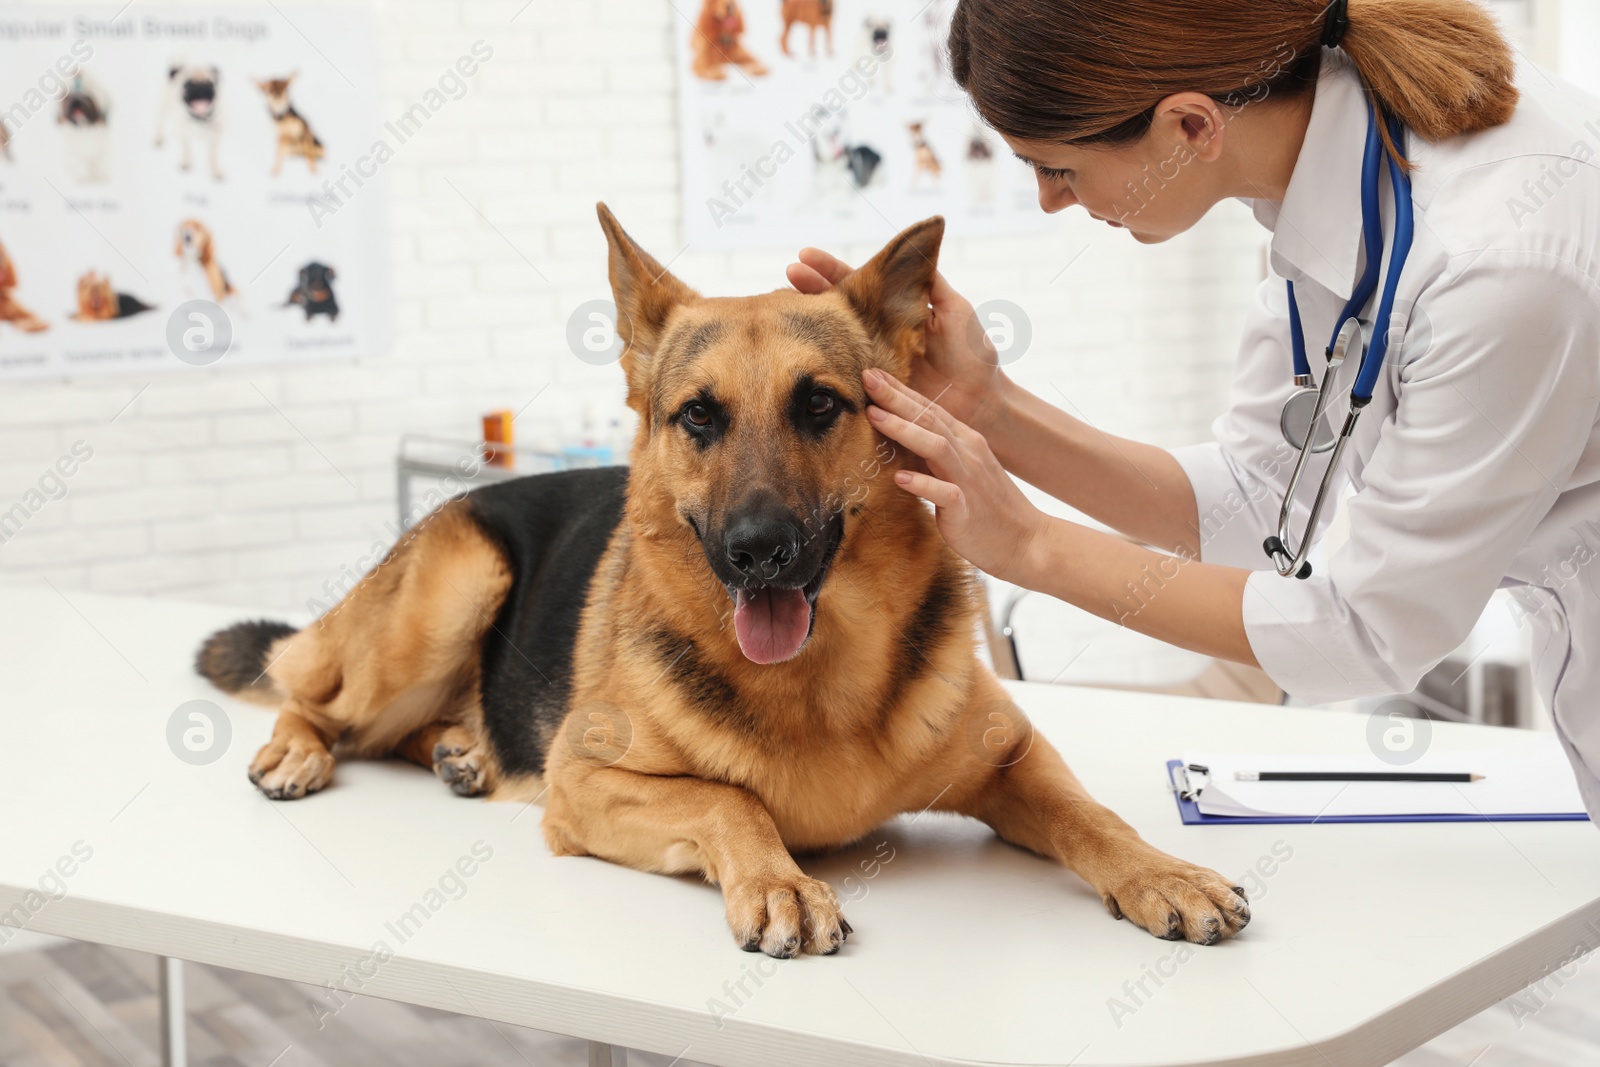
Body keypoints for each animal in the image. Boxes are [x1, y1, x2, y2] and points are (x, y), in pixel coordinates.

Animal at [196, 204, 1248, 953]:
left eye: (819, 404)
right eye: (698, 416)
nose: (757, 549)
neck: (821, 679)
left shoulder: (1014, 758)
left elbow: (1092, 811)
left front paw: (1163, 870)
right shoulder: (585, 781)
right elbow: (726, 797)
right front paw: (778, 879)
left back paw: (463, 751)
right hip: (454, 588)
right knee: (316, 695)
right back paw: (302, 751)